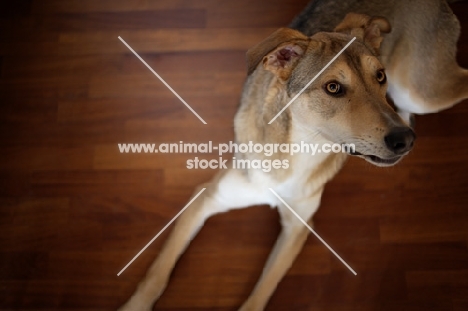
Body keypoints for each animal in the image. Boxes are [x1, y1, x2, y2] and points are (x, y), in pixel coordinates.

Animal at [119, 1, 466, 310]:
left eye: (379, 76)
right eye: (333, 88)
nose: (404, 142)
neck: (298, 150)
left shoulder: (298, 226)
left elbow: (262, 291)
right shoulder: (206, 197)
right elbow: (157, 272)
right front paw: (134, 305)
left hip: (420, 91)